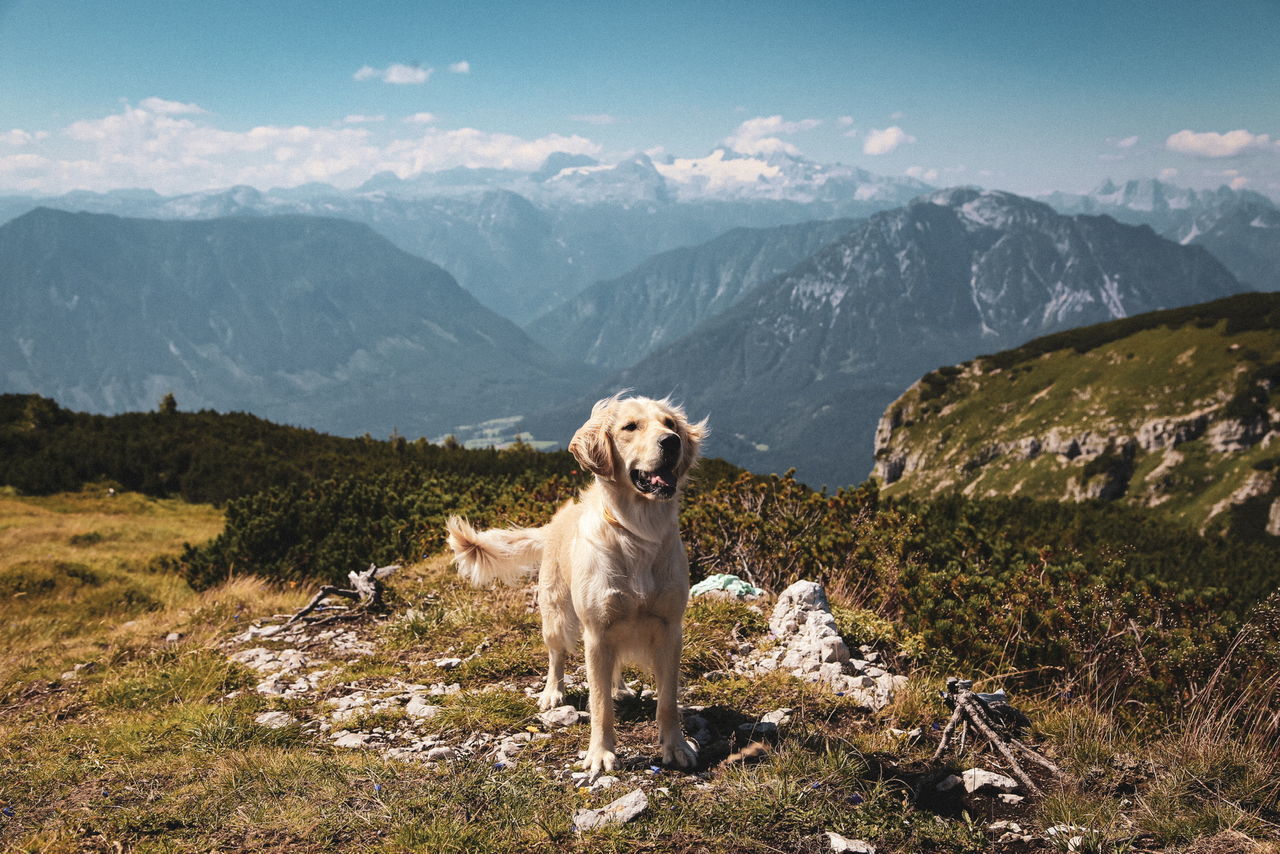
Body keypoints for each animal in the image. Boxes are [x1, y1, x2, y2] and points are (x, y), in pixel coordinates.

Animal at [448, 396, 711, 783]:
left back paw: (620, 688)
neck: (638, 532)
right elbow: (600, 706)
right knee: (556, 657)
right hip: (556, 617)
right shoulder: (597, 632)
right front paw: (600, 755)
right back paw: (553, 692)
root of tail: (555, 521)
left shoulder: (669, 630)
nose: (672, 443)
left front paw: (676, 746)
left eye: (670, 424)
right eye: (630, 427)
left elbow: (668, 701)